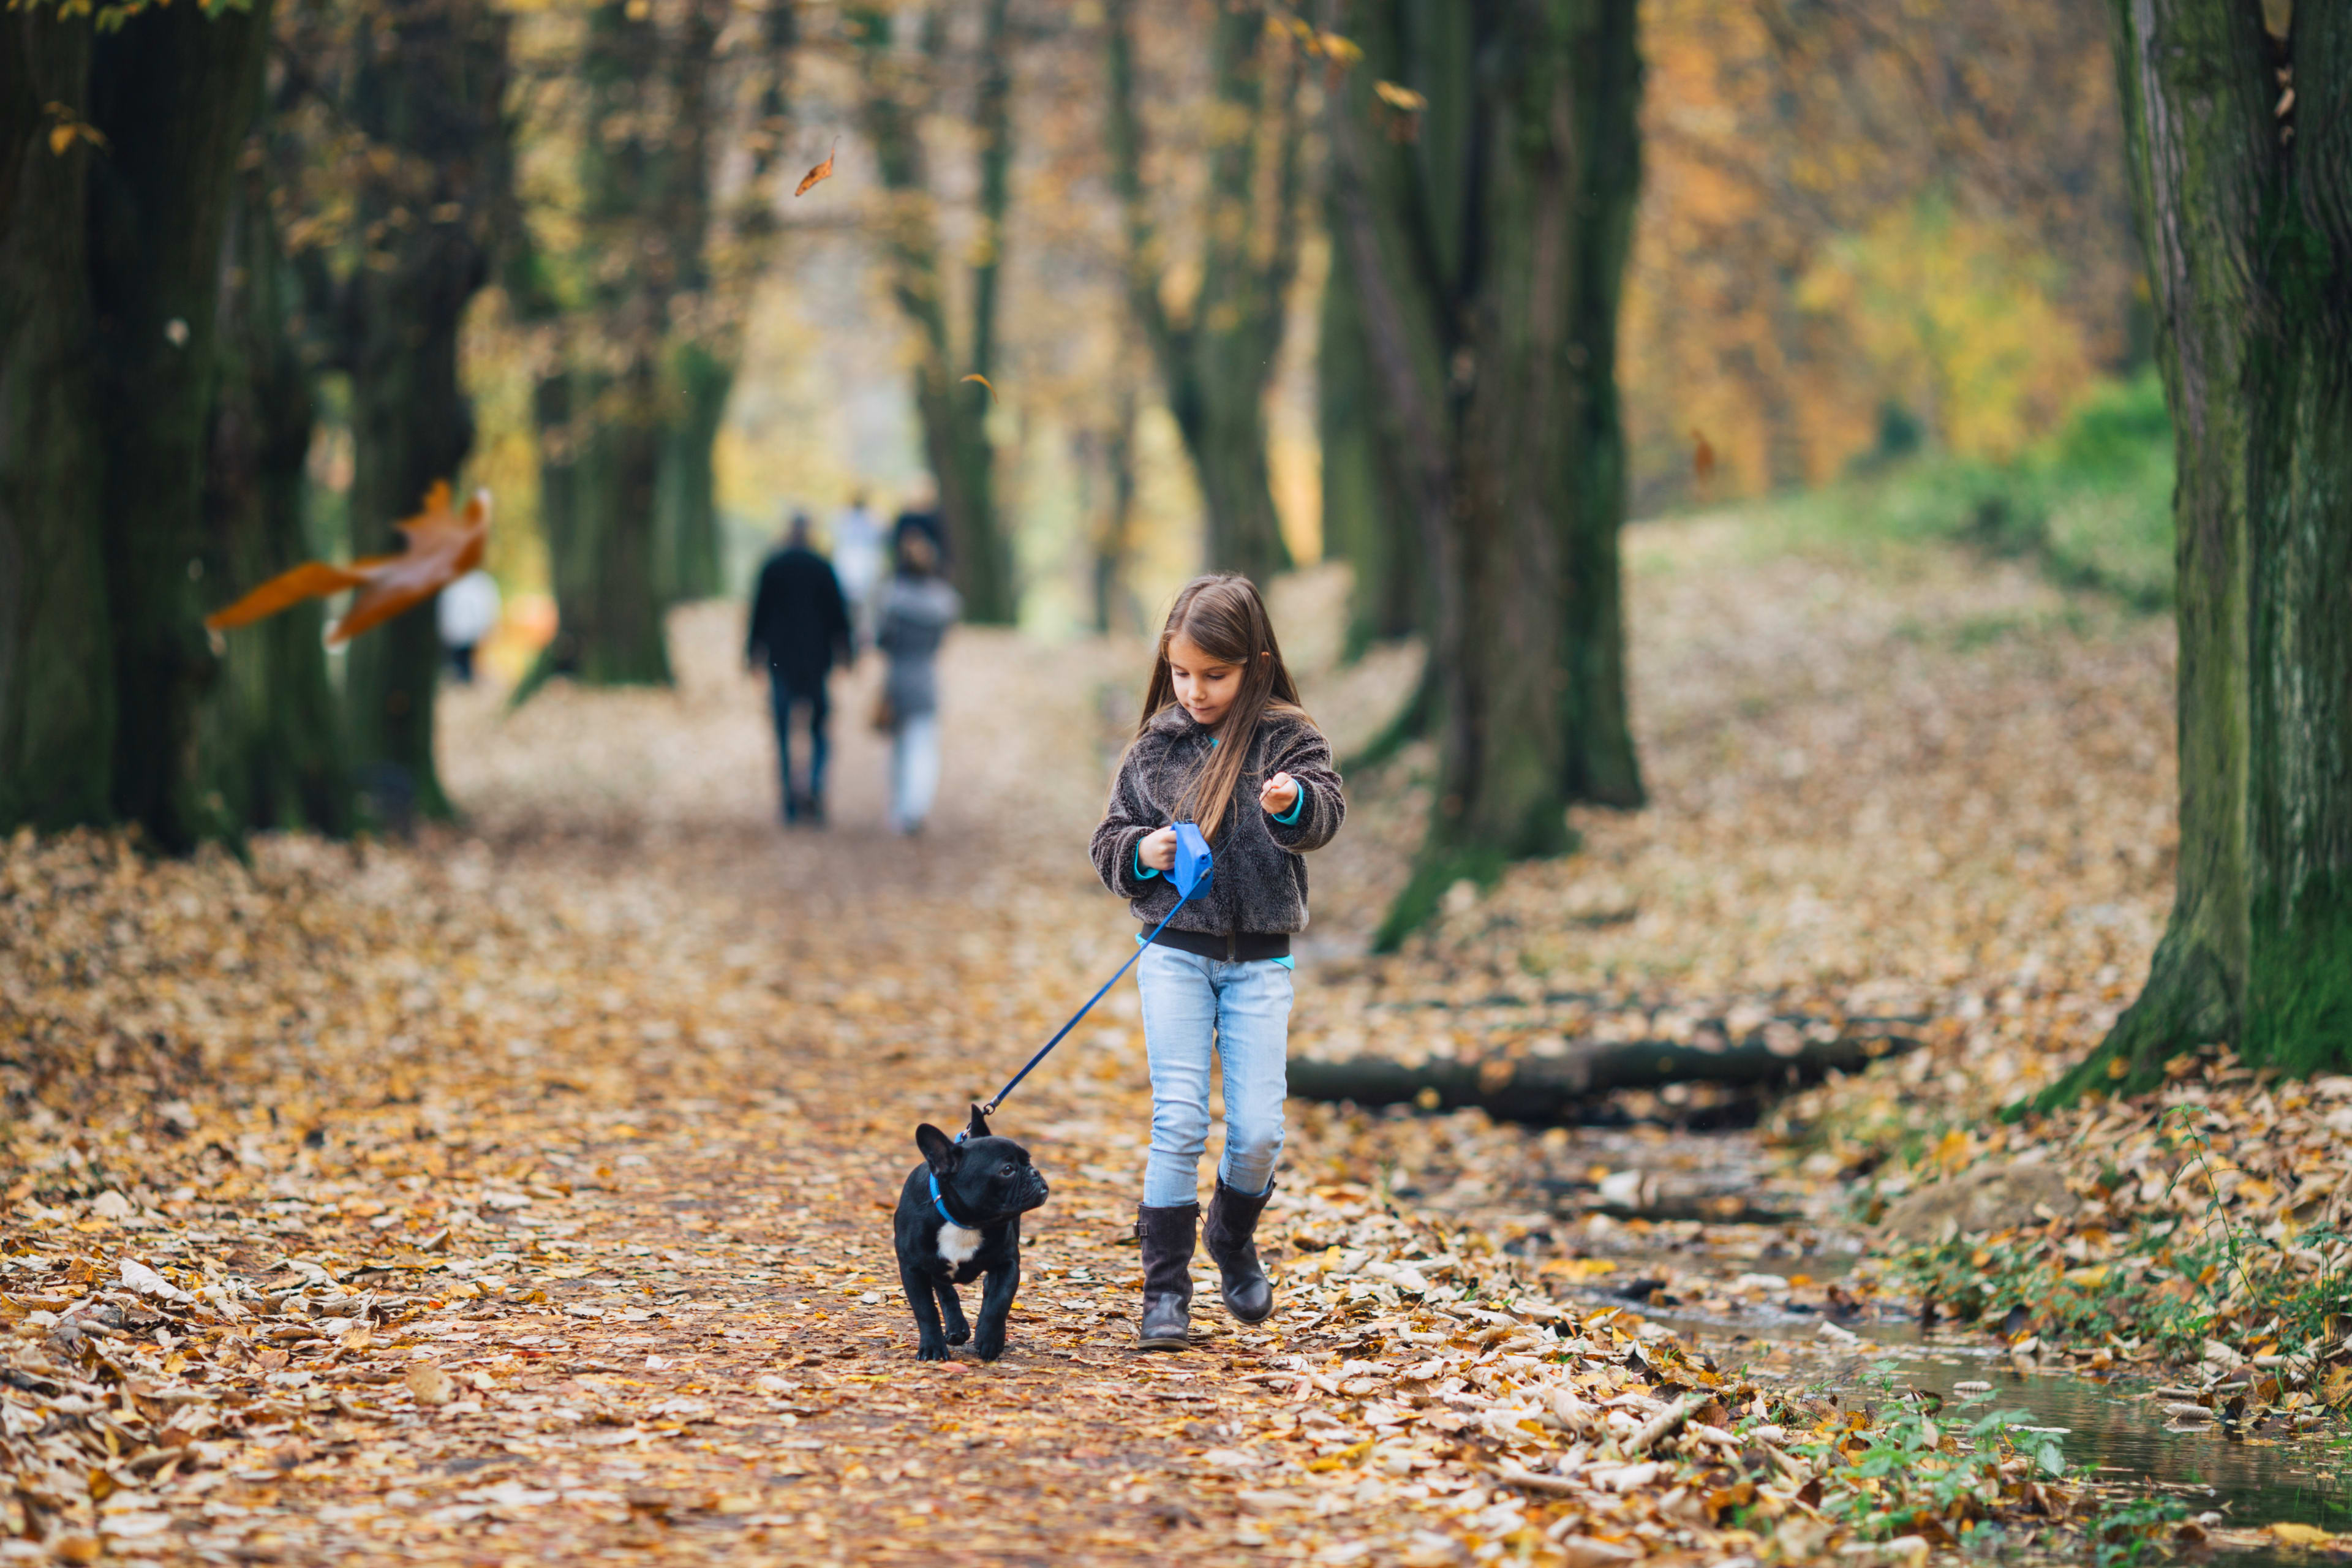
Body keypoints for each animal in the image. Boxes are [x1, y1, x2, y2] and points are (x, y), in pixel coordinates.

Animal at [894, 1104, 1054, 1363]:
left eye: (1028, 1160)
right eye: (1007, 1170)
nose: (1035, 1172)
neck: (966, 1222)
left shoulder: (1008, 1264)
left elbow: (999, 1302)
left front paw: (989, 1340)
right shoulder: (913, 1269)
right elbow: (925, 1310)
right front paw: (932, 1347)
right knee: (945, 1290)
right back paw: (956, 1328)